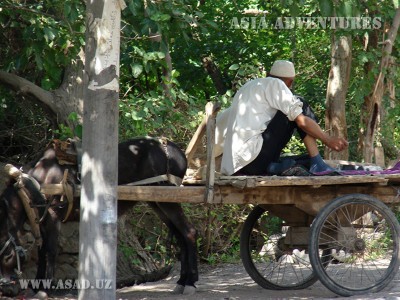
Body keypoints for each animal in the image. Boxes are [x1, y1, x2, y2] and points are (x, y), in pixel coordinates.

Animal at [0, 138, 198, 296]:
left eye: (4, 254)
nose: (6, 287)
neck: (35, 185)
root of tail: (176, 150)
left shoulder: (54, 215)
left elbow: (50, 250)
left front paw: (43, 289)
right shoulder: (42, 220)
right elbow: (42, 251)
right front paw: (36, 285)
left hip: (167, 200)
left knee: (189, 232)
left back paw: (190, 282)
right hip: (157, 201)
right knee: (181, 236)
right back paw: (182, 282)